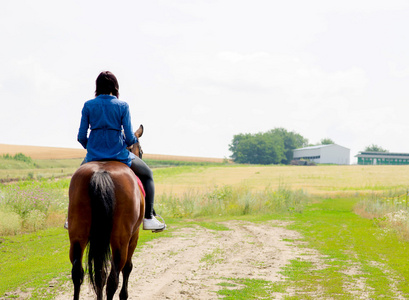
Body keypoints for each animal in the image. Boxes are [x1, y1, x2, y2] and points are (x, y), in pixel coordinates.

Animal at [69, 125, 146, 300]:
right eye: (141, 151)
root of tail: (101, 172)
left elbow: (99, 274)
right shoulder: (134, 236)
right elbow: (128, 268)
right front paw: (124, 295)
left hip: (78, 235)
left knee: (79, 273)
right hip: (120, 240)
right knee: (113, 279)